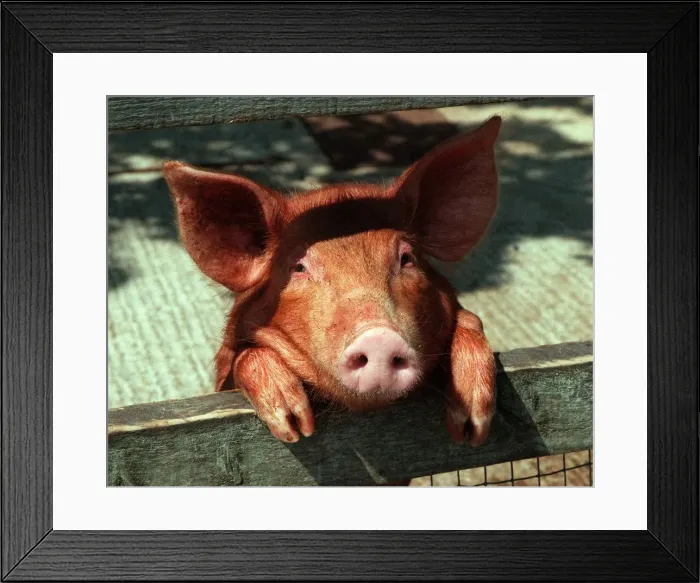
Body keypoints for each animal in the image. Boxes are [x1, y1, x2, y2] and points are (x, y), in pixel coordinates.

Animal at [163, 115, 501, 447]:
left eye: (406, 258)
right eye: (298, 267)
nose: (378, 337)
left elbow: (469, 320)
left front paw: (474, 426)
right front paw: (294, 426)